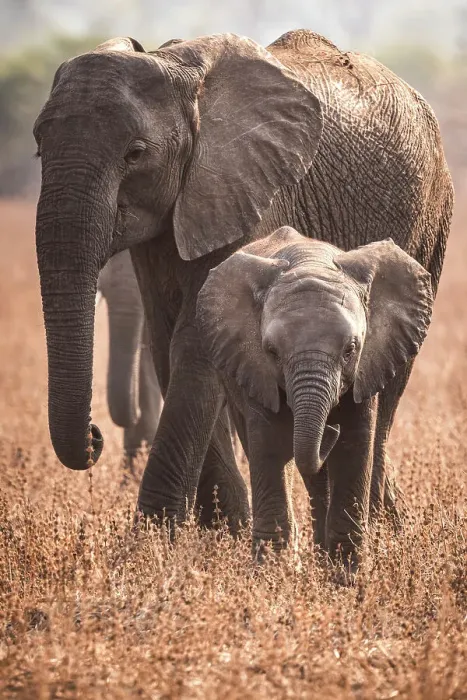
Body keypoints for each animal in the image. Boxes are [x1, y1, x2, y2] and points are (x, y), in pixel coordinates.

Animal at [196, 227, 433, 563]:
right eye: (272, 352)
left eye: (351, 350)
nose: (330, 427)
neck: (310, 262)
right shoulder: (256, 369)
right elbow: (270, 446)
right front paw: (271, 571)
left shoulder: (369, 364)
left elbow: (354, 445)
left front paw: (347, 572)